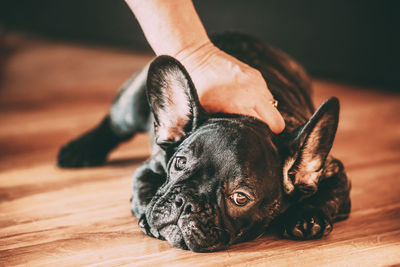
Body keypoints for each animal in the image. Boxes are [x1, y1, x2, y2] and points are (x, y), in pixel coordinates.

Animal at [57, 33, 352, 253]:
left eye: (240, 197)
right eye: (179, 163)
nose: (185, 203)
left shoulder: (334, 171)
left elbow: (330, 195)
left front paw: (308, 216)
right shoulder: (150, 168)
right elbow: (144, 191)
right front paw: (147, 217)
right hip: (130, 106)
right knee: (113, 123)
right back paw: (79, 150)